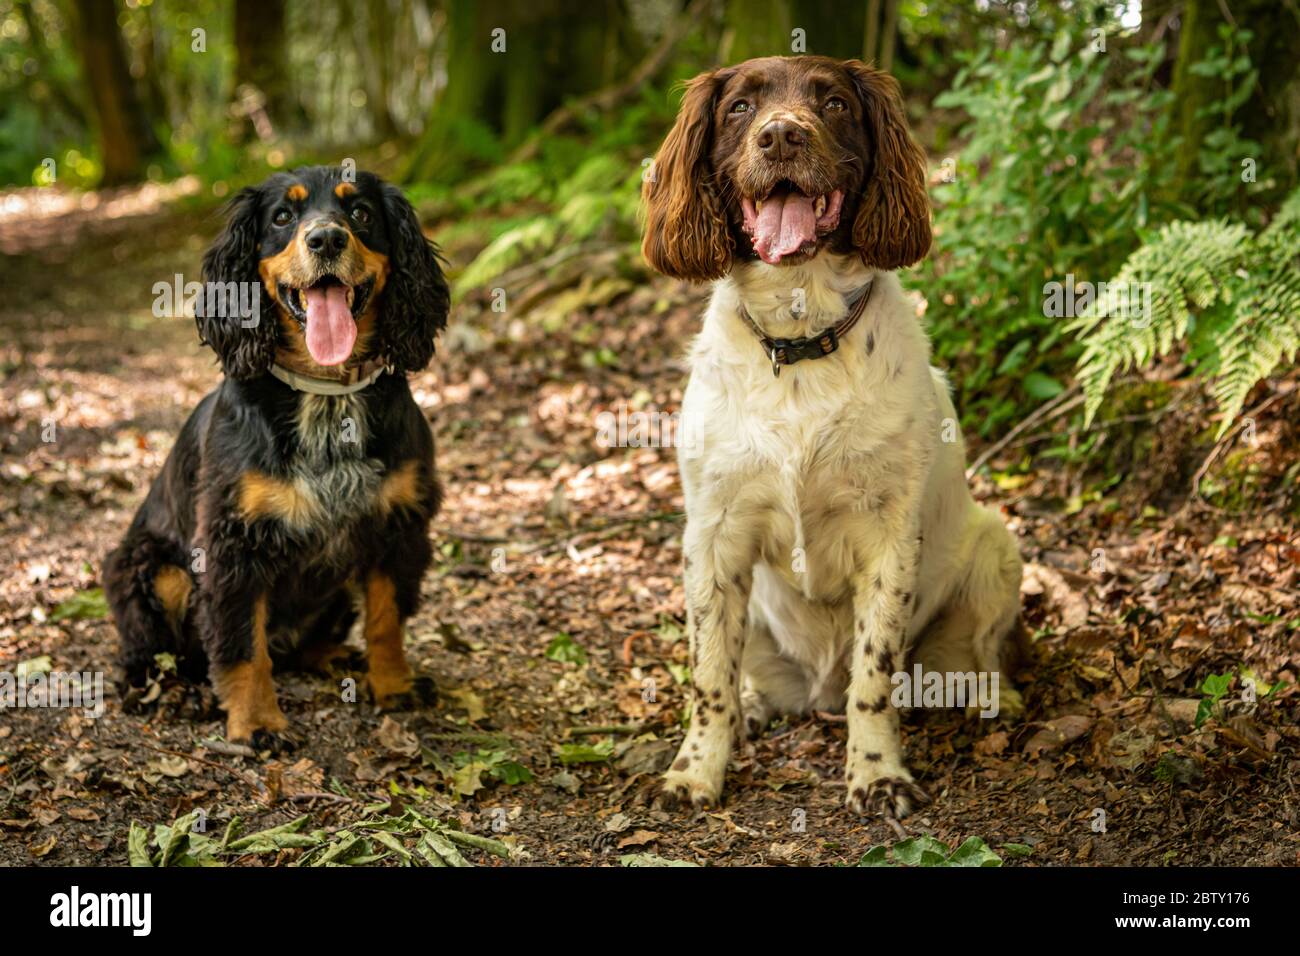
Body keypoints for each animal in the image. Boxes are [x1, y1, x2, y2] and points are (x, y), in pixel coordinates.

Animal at [101, 166, 449, 749]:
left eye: (360, 212)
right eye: (283, 216)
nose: (326, 239)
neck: (326, 395)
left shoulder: (398, 524)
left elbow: (386, 620)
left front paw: (393, 685)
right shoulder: (231, 543)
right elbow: (242, 643)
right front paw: (257, 722)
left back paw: (333, 656)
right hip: (148, 566)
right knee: (145, 656)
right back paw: (174, 692)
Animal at [644, 57, 1019, 822]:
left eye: (836, 103)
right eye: (741, 106)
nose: (782, 136)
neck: (799, 341)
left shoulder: (889, 536)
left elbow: (874, 677)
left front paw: (877, 774)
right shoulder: (712, 535)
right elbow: (708, 677)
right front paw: (696, 772)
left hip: (998, 544)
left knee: (970, 662)